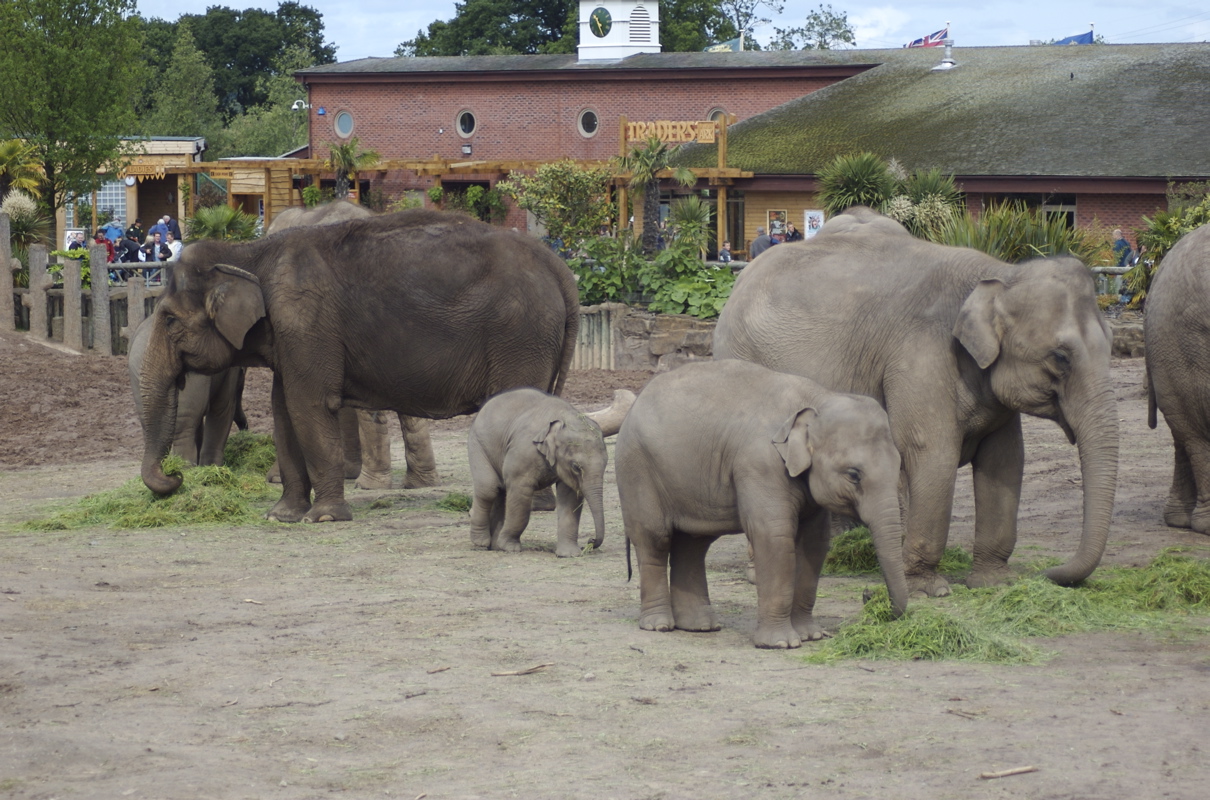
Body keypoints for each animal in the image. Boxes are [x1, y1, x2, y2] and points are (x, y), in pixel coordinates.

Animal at [467, 388, 608, 557]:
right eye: (576, 466)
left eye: (606, 463)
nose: (590, 541)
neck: (564, 419)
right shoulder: (524, 453)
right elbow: (520, 494)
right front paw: (510, 547)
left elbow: (570, 498)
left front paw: (569, 554)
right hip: (478, 444)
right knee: (489, 489)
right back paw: (481, 542)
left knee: (501, 492)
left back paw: (494, 546)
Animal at [615, 359, 909, 649]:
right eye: (853, 474)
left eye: (898, 465)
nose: (870, 597)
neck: (817, 399)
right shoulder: (760, 463)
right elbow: (773, 536)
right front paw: (780, 643)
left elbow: (814, 541)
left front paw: (811, 636)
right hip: (637, 469)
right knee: (654, 538)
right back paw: (659, 625)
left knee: (693, 543)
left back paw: (700, 626)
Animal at [714, 207, 1119, 596]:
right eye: (1061, 358)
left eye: (1112, 345)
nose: (1051, 574)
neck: (1000, 274)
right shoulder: (920, 358)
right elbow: (932, 453)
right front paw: (928, 590)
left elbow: (1005, 461)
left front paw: (995, 584)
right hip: (742, 355)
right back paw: (762, 574)